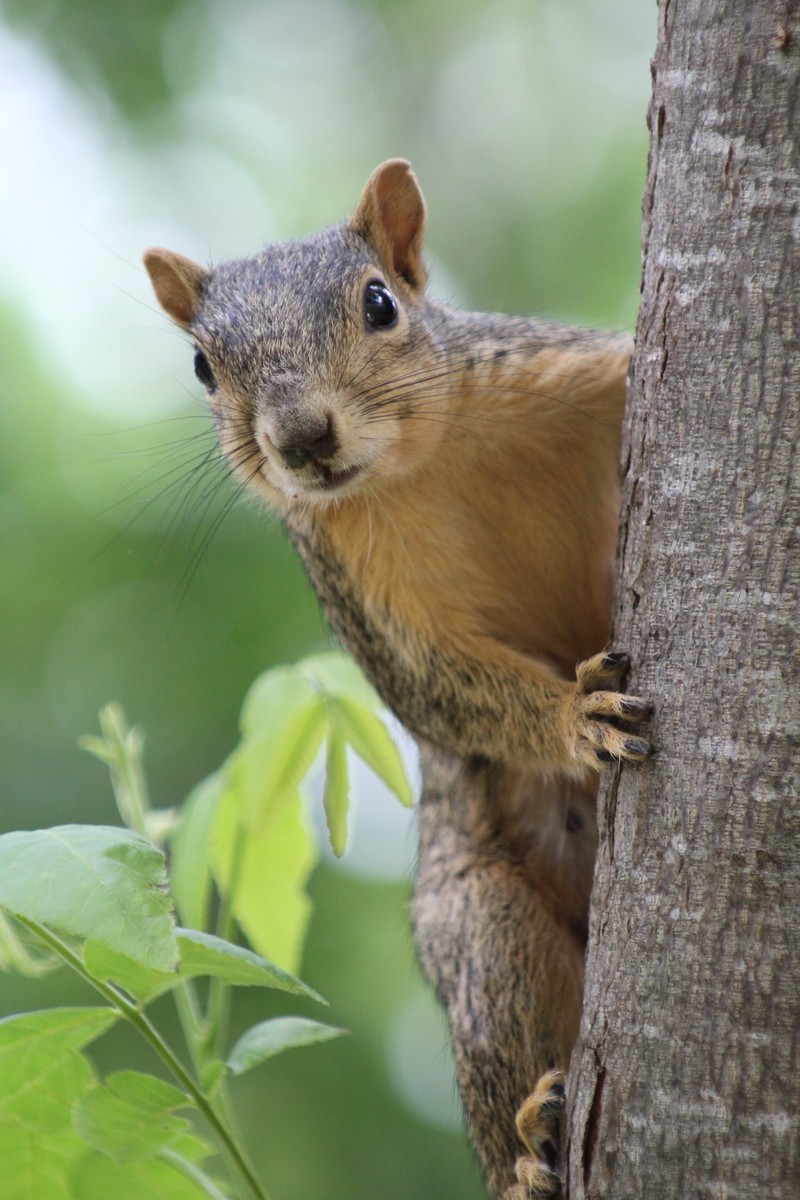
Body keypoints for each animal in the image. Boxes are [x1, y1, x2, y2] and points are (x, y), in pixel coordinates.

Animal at [142, 162, 652, 1200]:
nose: (302, 438)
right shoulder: (365, 598)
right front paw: (574, 716)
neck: (424, 465)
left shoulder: (566, 367)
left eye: (380, 302)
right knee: (502, 1019)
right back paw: (529, 1148)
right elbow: (440, 690)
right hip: (479, 923)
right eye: (203, 367)